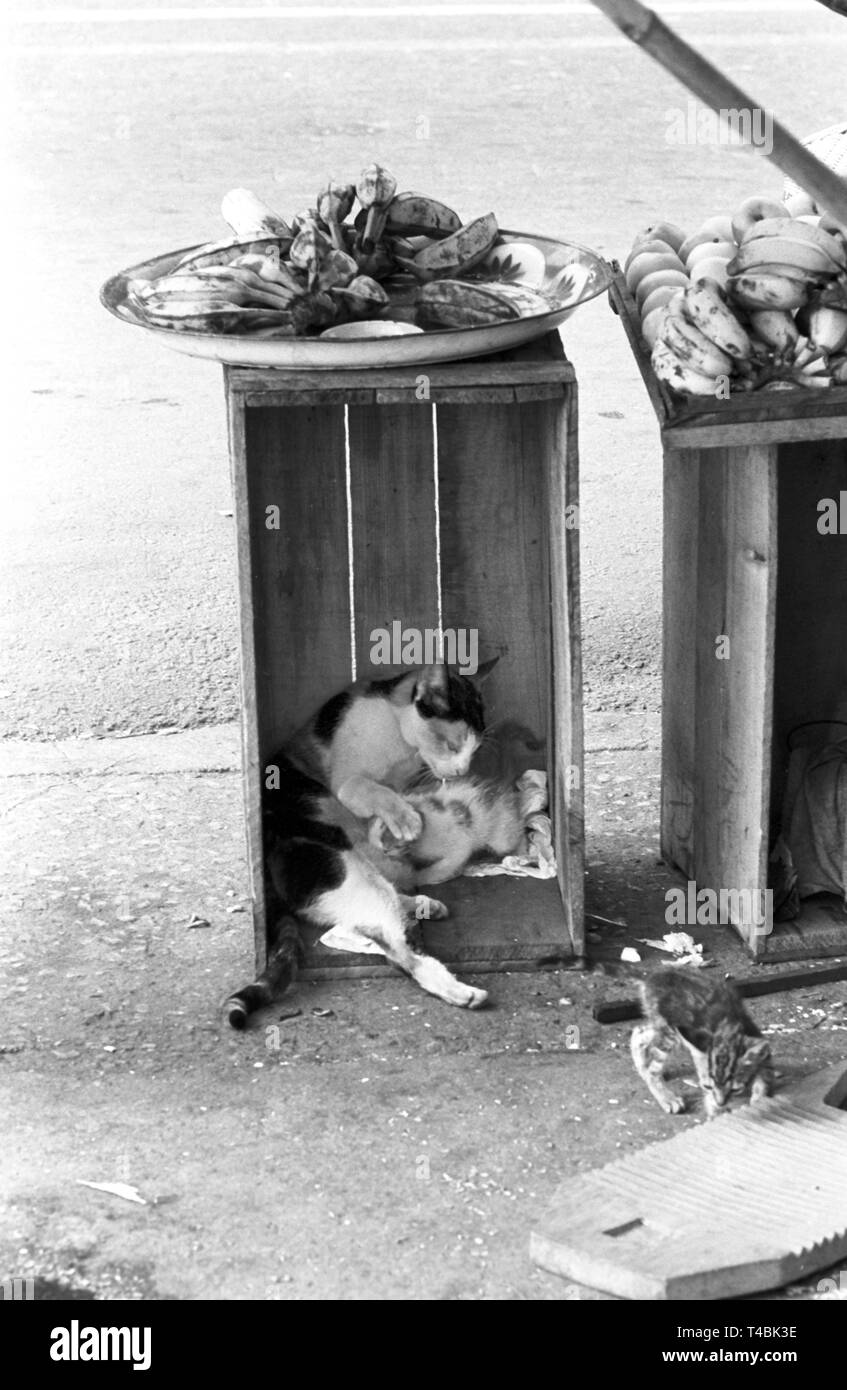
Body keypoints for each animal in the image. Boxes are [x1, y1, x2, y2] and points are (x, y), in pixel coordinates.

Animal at [225, 656, 528, 1028]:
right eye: (453, 745)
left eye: (475, 750)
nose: (460, 772)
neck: (403, 745)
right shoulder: (350, 783)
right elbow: (375, 791)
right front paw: (406, 820)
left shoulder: (400, 786)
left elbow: (387, 809)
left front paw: (396, 825)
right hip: (347, 871)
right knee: (398, 952)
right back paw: (459, 992)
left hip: (365, 877)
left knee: (391, 898)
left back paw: (422, 903)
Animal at [628, 967, 773, 1117]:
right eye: (707, 1086)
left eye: (735, 1089)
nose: (720, 1103)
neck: (727, 1027)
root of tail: (652, 977)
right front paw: (715, 1113)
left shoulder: (761, 1045)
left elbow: (764, 1075)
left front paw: (759, 1100)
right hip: (669, 1032)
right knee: (652, 1067)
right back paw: (666, 1097)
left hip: (666, 1028)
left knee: (639, 1033)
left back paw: (643, 1068)